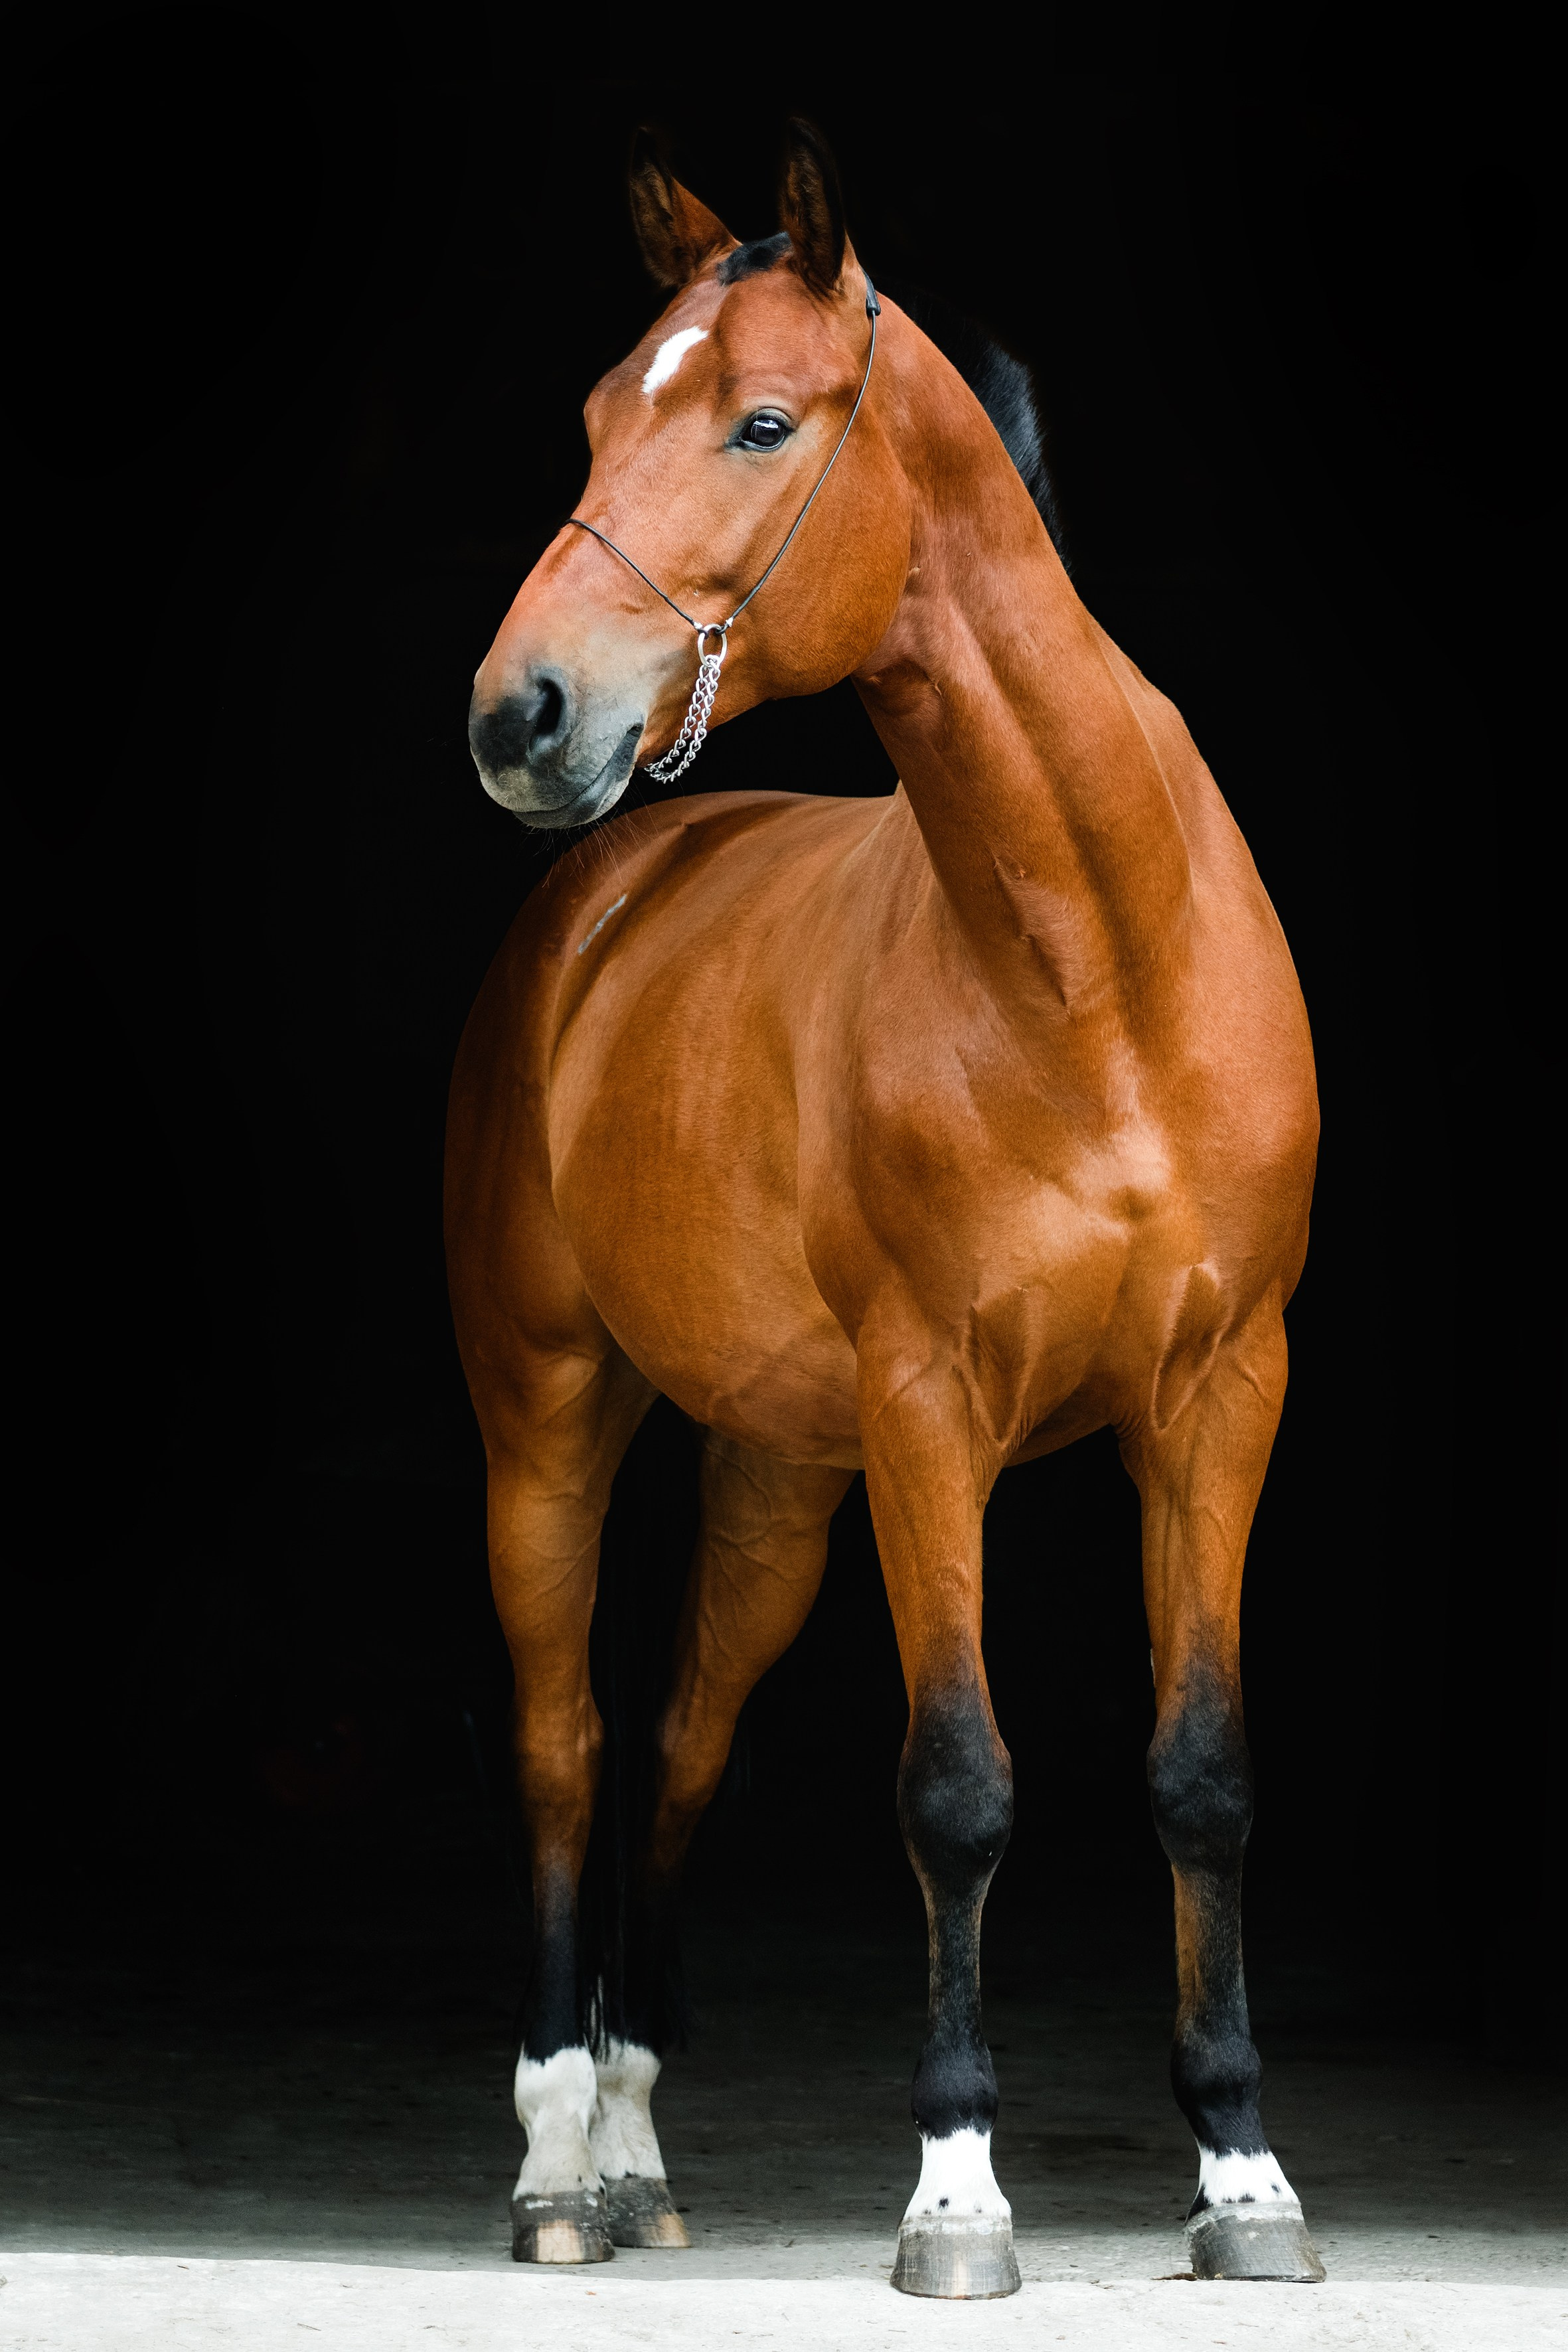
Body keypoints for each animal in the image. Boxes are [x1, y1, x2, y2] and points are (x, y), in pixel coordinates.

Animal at [447, 118, 1323, 2297]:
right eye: (595, 417)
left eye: (760, 421)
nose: (522, 716)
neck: (1100, 964)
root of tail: (608, 892)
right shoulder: (937, 1413)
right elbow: (957, 1788)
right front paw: (955, 2189)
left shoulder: (1221, 1398)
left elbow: (1202, 1777)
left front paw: (1242, 2174)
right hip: (549, 1424)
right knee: (568, 1747)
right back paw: (557, 2159)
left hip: (777, 1476)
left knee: (678, 1742)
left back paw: (639, 2147)